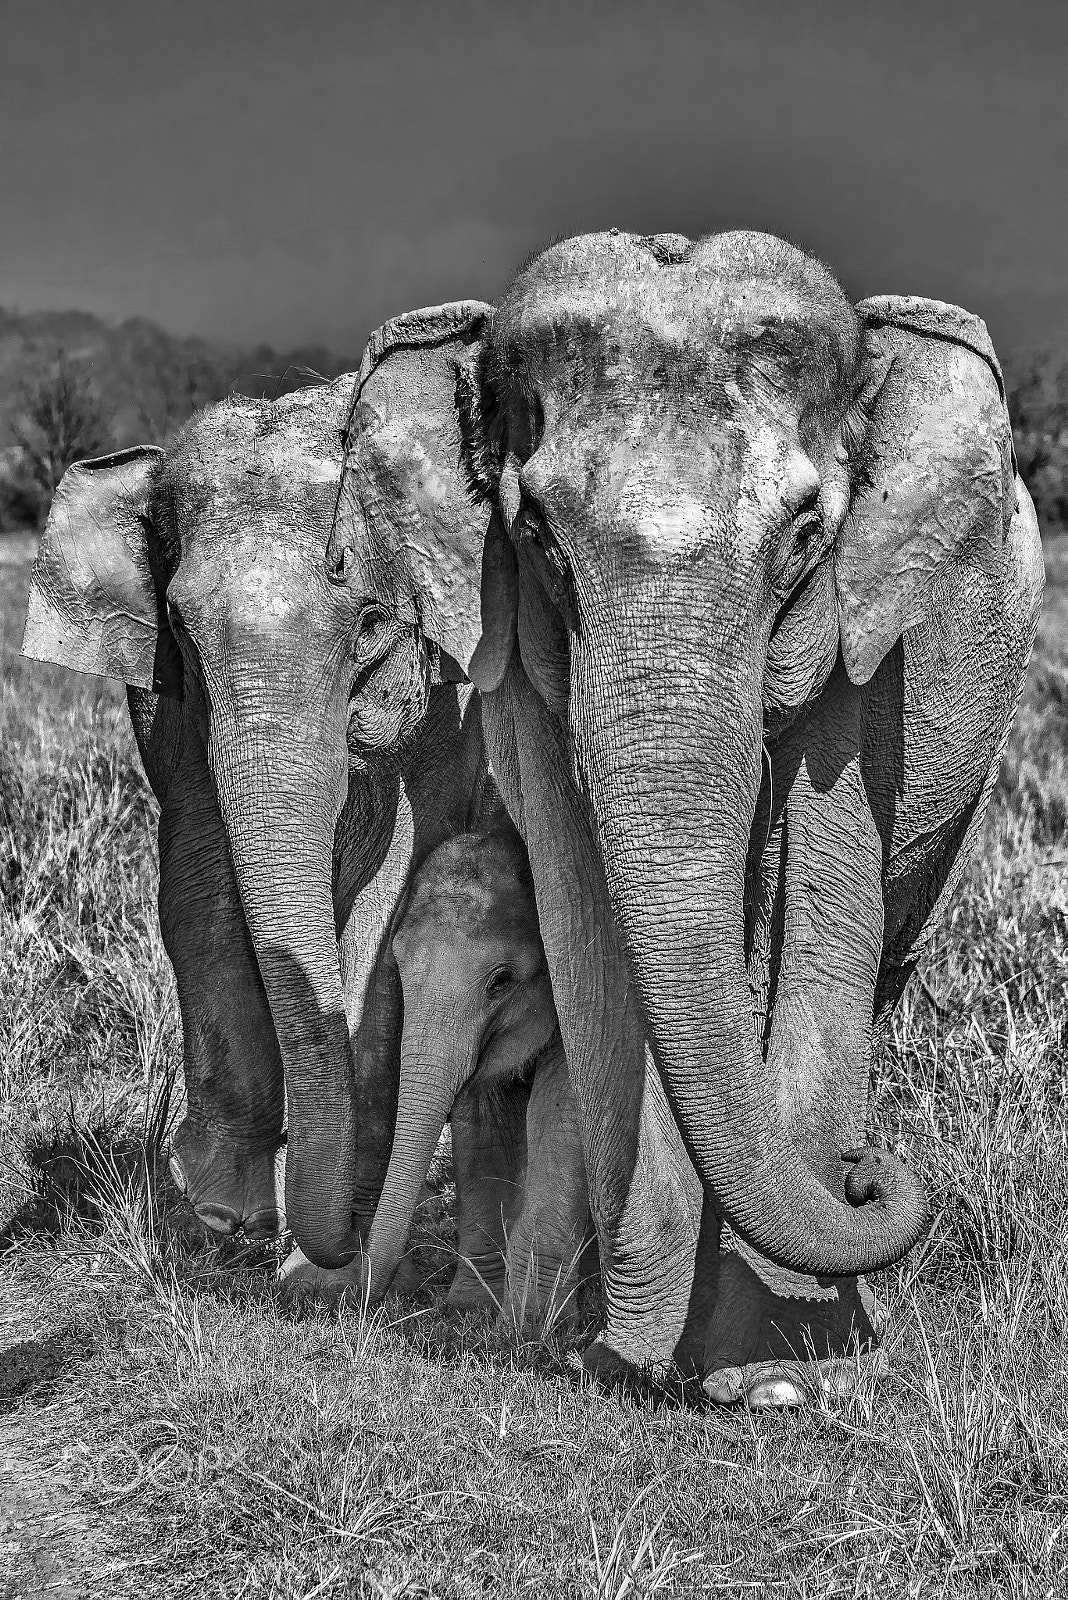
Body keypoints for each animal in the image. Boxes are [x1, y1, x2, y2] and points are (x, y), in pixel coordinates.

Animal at [320, 232, 1043, 1401]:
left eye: (805, 531)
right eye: (537, 533)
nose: (861, 1174)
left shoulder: (864, 647)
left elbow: (820, 917)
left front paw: (781, 1373)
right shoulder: (516, 656)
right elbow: (588, 930)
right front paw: (629, 1356)